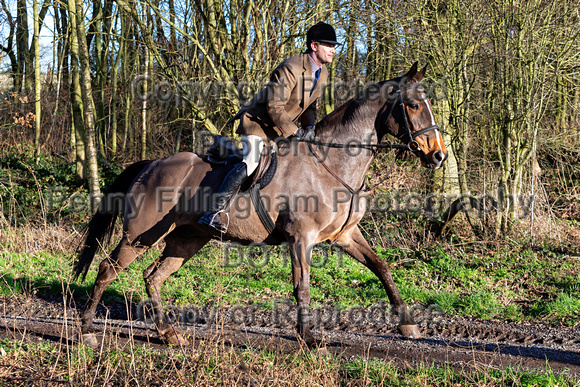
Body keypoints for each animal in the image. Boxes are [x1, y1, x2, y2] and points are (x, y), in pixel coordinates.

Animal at [73, 62, 448, 348]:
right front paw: (308, 338)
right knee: (107, 270)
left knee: (153, 277)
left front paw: (408, 323)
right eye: (414, 106)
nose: (439, 156)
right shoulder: (301, 238)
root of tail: (150, 165)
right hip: (140, 236)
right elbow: (302, 286)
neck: (332, 164)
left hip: (187, 239)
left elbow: (382, 268)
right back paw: (87, 331)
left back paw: (168, 333)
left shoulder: (345, 235)